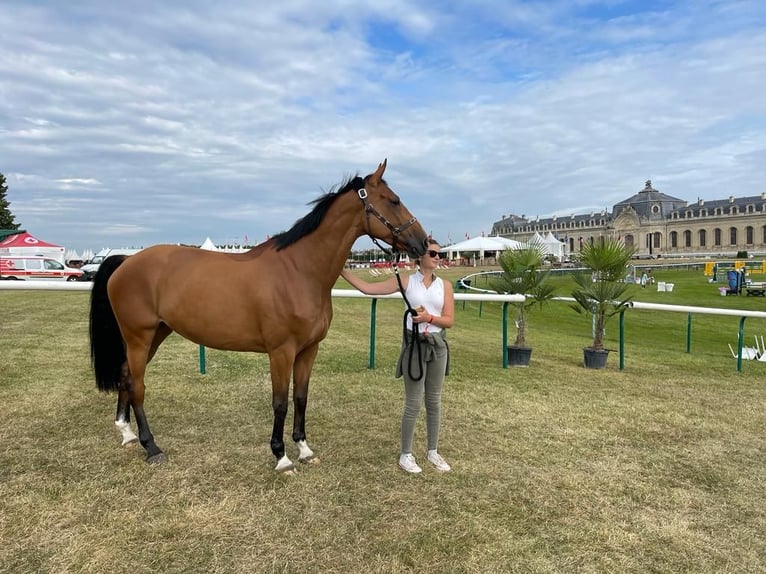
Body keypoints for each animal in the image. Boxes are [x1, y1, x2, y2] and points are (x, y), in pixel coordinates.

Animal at [91, 161, 428, 472]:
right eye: (393, 200)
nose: (423, 243)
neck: (299, 271)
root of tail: (126, 261)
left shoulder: (308, 350)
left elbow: (301, 397)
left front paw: (304, 448)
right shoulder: (281, 352)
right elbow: (279, 402)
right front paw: (281, 456)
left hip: (156, 335)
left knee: (125, 377)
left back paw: (127, 434)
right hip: (139, 337)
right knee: (137, 386)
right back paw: (151, 447)